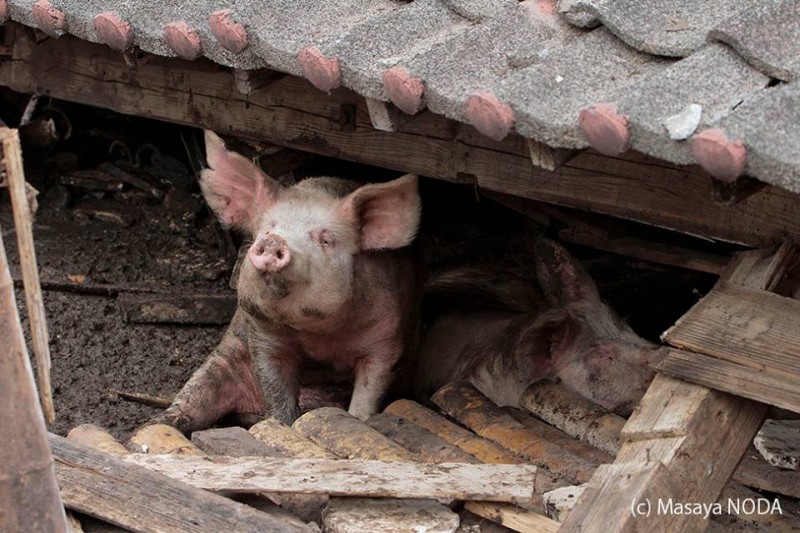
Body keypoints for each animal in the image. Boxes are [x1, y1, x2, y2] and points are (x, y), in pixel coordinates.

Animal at [152, 132, 422, 432]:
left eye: (325, 240)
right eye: (267, 228)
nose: (273, 241)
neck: (320, 337)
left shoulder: (387, 340)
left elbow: (368, 391)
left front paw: (359, 418)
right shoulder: (263, 335)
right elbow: (277, 393)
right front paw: (282, 421)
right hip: (222, 362)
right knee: (193, 398)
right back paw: (155, 425)